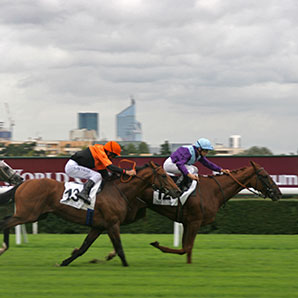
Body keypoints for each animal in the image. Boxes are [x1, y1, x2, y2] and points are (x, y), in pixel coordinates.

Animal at [0, 162, 179, 266]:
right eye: (164, 175)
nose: (177, 191)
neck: (119, 191)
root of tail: (23, 183)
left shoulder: (99, 226)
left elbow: (83, 247)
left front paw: (65, 262)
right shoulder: (113, 224)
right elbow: (119, 247)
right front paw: (126, 265)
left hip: (36, 215)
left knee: (6, 220)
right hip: (27, 214)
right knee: (5, 222)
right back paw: (3, 248)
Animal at [106, 161, 282, 264]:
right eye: (265, 175)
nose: (278, 193)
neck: (214, 190)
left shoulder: (187, 222)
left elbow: (187, 248)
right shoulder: (194, 221)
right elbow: (186, 248)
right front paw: (158, 245)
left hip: (136, 212)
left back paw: (111, 253)